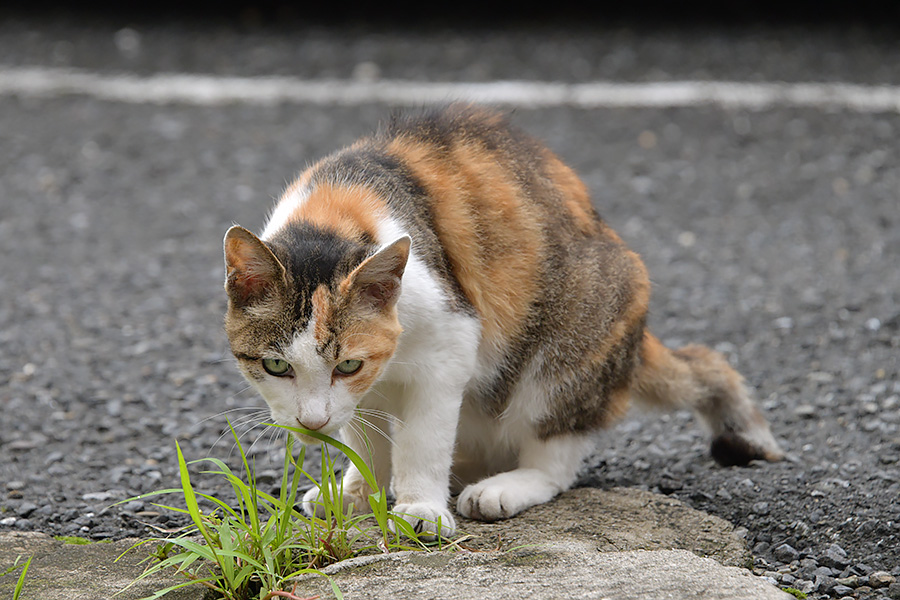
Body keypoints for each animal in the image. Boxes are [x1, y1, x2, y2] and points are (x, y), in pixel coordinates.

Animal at [223, 101, 780, 536]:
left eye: (347, 366)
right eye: (276, 367)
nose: (311, 423)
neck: (333, 214)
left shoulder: (449, 344)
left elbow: (423, 437)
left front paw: (420, 508)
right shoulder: (372, 384)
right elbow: (365, 434)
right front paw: (362, 489)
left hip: (571, 342)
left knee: (556, 461)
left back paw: (503, 487)